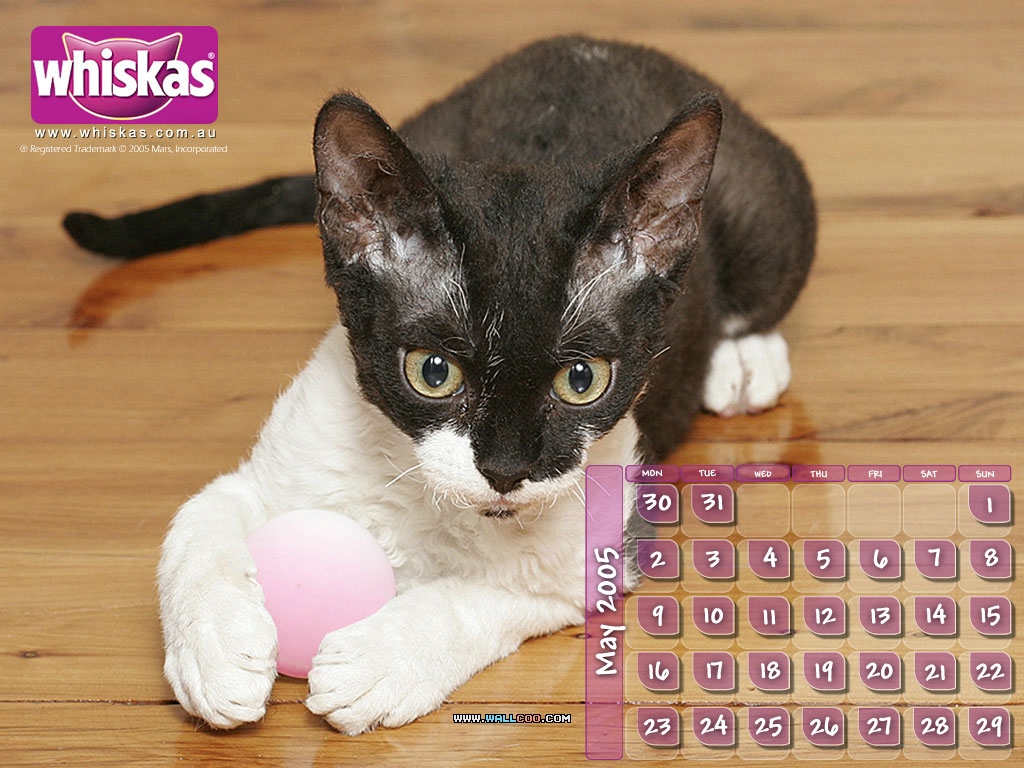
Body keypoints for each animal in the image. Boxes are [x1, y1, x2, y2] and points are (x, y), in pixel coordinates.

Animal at [65, 36, 815, 734]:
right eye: (433, 371)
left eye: (582, 379)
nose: (506, 469)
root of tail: (595, 44)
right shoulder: (276, 468)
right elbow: (194, 521)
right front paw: (215, 651)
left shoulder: (595, 549)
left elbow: (484, 594)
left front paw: (381, 660)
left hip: (768, 214)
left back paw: (744, 359)